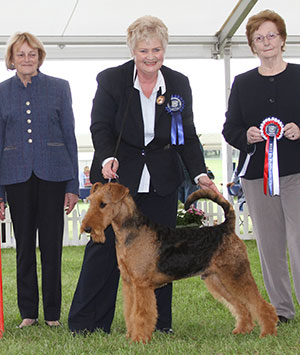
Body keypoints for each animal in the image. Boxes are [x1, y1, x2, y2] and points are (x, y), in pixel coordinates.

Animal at [81, 182, 278, 344]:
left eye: (103, 204)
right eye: (90, 201)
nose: (87, 229)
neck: (130, 233)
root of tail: (226, 227)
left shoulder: (141, 285)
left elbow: (141, 314)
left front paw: (139, 339)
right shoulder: (129, 284)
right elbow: (130, 312)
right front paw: (130, 336)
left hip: (235, 275)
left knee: (260, 304)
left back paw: (268, 332)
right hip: (217, 280)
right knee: (242, 306)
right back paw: (242, 330)